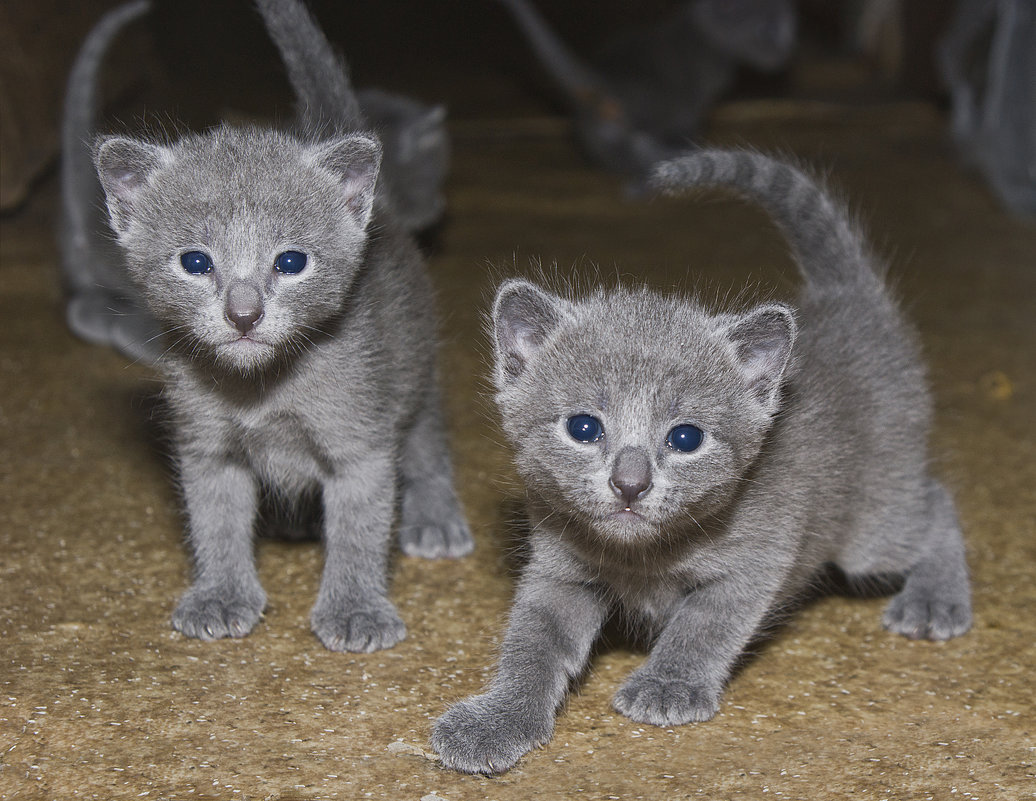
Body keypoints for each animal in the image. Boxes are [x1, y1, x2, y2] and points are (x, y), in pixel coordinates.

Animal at [430, 147, 969, 770]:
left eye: (686, 438)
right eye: (583, 428)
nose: (630, 483)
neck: (643, 556)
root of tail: (848, 303)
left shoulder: (756, 558)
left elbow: (703, 624)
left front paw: (669, 684)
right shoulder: (559, 567)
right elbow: (532, 642)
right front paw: (498, 718)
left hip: (872, 527)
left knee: (935, 503)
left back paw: (935, 599)